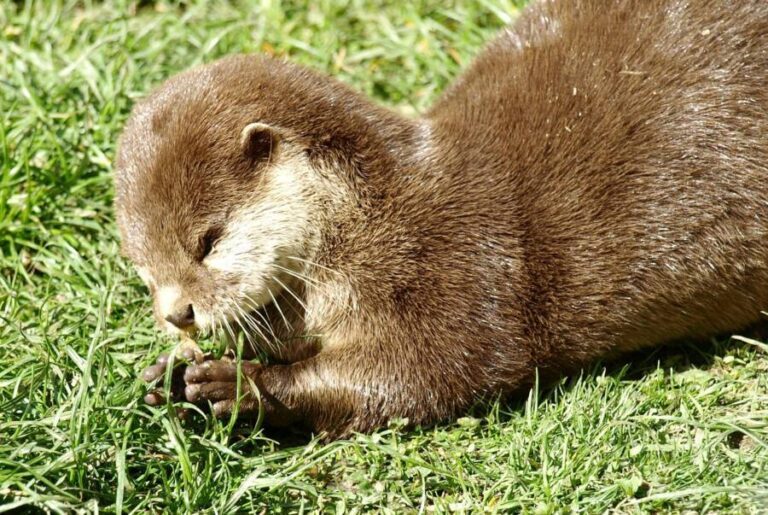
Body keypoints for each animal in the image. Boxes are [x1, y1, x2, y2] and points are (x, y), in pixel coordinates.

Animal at [114, 0, 768, 442]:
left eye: (208, 240)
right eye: (142, 267)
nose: (177, 313)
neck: (380, 221)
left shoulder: (460, 275)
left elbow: (423, 374)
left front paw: (240, 385)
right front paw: (172, 375)